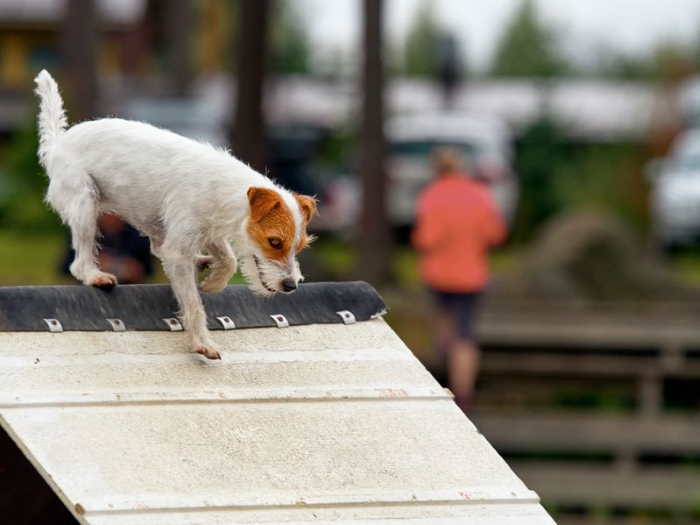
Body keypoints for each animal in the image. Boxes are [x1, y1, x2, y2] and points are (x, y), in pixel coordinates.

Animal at [33, 70, 318, 360]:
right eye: (274, 242)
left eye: (299, 247)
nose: (291, 285)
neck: (225, 189)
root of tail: (57, 143)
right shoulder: (180, 249)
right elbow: (193, 303)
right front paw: (202, 342)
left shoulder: (208, 232)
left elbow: (229, 261)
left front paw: (213, 283)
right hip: (85, 204)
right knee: (80, 262)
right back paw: (95, 275)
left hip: (152, 222)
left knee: (157, 248)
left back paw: (201, 261)